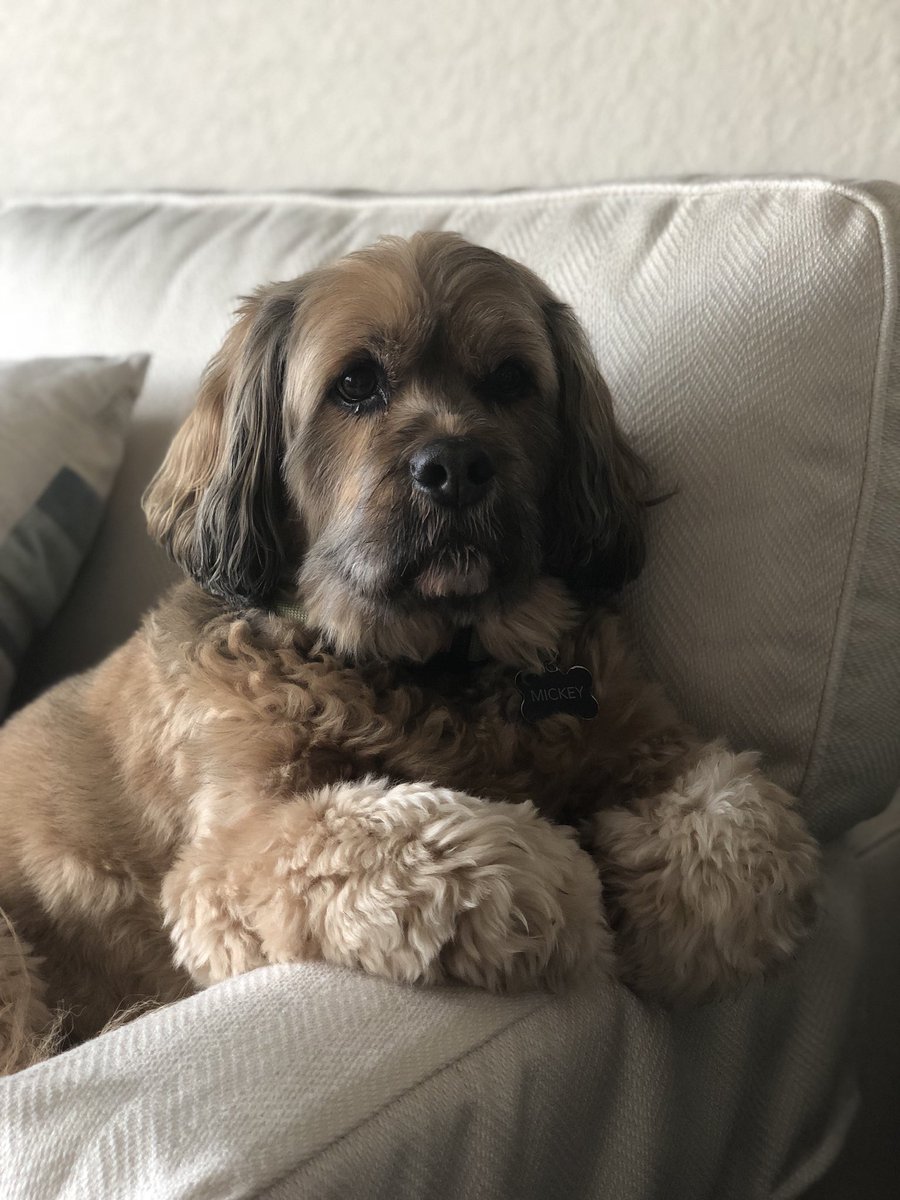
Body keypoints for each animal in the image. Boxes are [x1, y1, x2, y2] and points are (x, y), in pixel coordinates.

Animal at [0, 229, 820, 1075]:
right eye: (356, 383)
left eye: (511, 379)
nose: (455, 467)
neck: (438, 666)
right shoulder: (226, 857)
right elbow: (397, 836)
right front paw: (557, 882)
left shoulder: (648, 735)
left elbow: (740, 820)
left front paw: (681, 925)